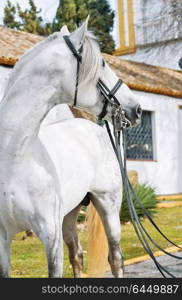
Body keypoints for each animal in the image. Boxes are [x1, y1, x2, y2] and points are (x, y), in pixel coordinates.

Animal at [0, 18, 141, 276]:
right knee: (76, 255)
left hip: (109, 207)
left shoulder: (50, 237)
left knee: (115, 258)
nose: (136, 109)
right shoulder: (3, 238)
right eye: (103, 62)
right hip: (69, 215)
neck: (13, 159)